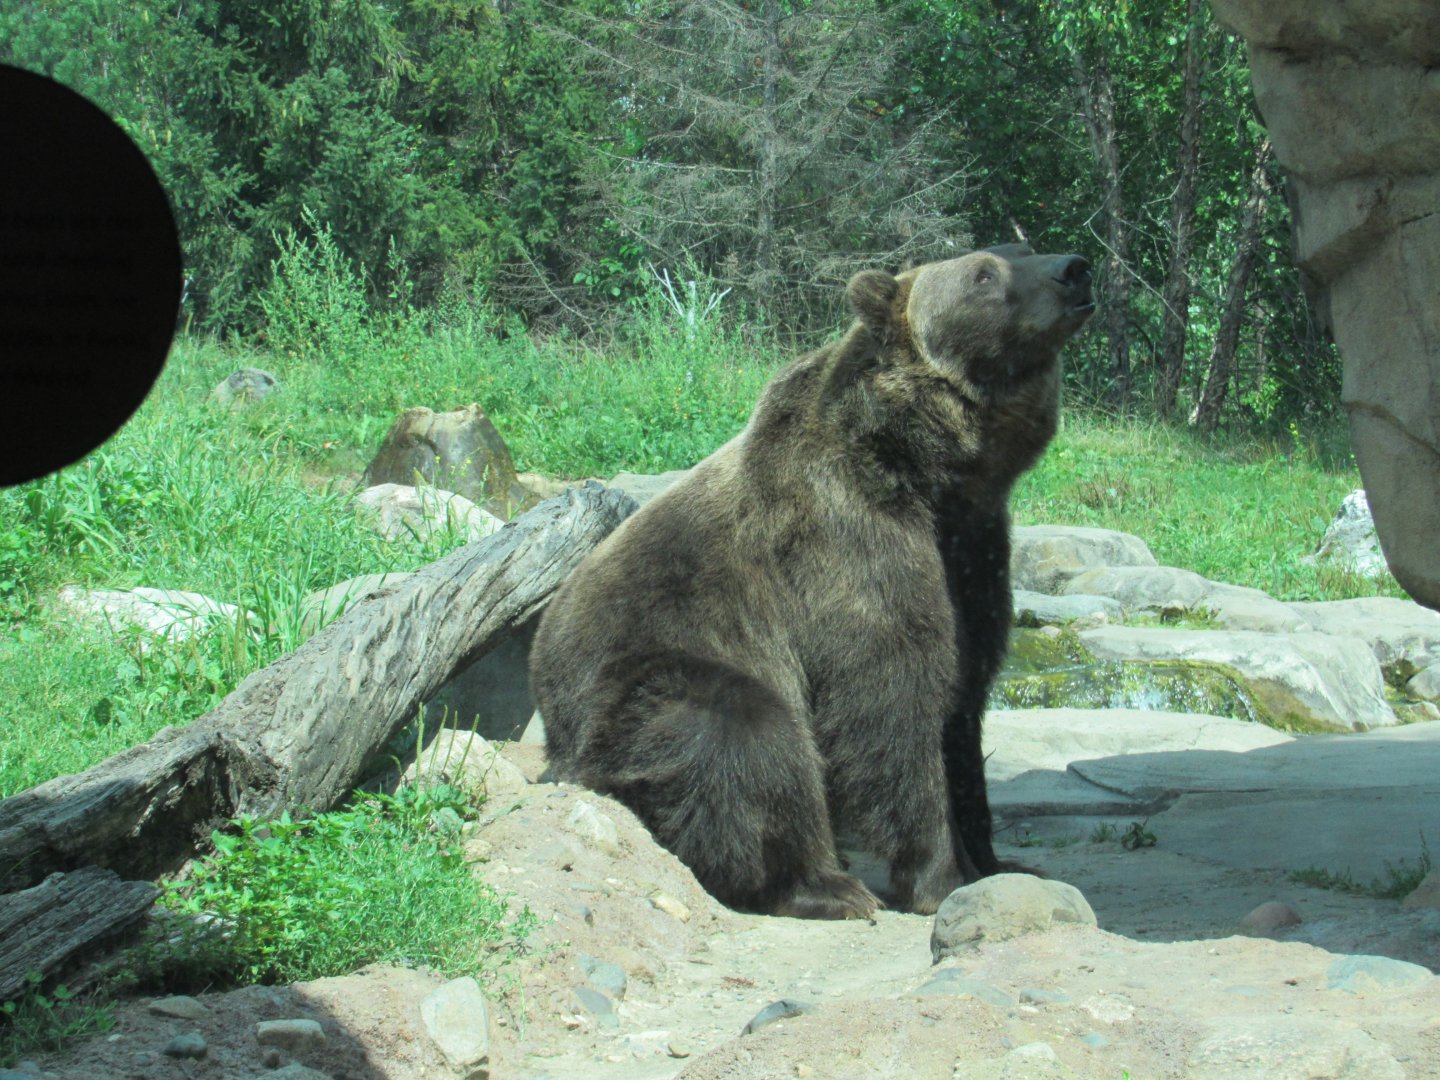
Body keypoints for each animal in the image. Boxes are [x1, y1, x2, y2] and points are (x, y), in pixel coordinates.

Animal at [529, 245, 1094, 919]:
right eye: (984, 274)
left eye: (1020, 249)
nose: (1074, 269)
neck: (929, 470)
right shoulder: (844, 538)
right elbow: (891, 699)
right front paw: (938, 878)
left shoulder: (974, 554)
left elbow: (963, 702)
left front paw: (997, 861)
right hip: (644, 674)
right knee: (744, 735)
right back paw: (823, 885)